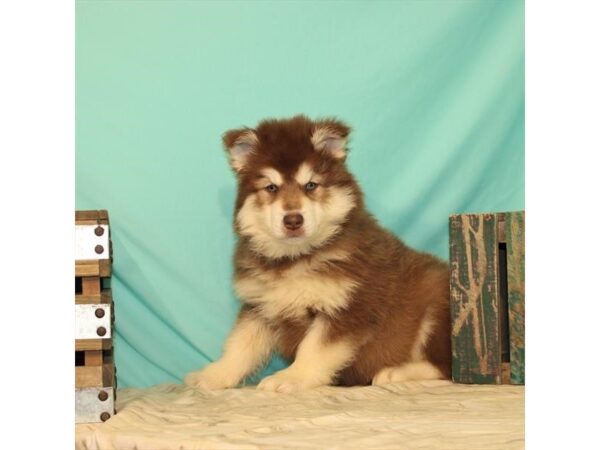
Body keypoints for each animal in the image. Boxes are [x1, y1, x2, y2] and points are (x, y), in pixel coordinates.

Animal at [184, 116, 450, 394]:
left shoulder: (348, 306)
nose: (293, 220)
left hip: (436, 303)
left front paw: (291, 377)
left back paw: (395, 372)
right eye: (271, 187)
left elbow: (313, 349)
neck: (296, 258)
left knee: (445, 367)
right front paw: (214, 374)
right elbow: (239, 346)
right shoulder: (259, 306)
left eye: (311, 185)